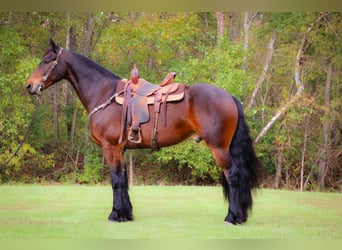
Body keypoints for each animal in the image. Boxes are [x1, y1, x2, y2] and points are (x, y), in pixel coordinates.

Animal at [26, 39, 264, 225]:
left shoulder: (110, 147)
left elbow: (115, 181)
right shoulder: (120, 150)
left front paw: (115, 215)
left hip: (218, 148)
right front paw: (126, 214)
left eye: (47, 60)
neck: (104, 93)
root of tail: (229, 96)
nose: (29, 86)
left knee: (233, 176)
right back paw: (240, 216)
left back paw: (232, 217)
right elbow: (123, 180)